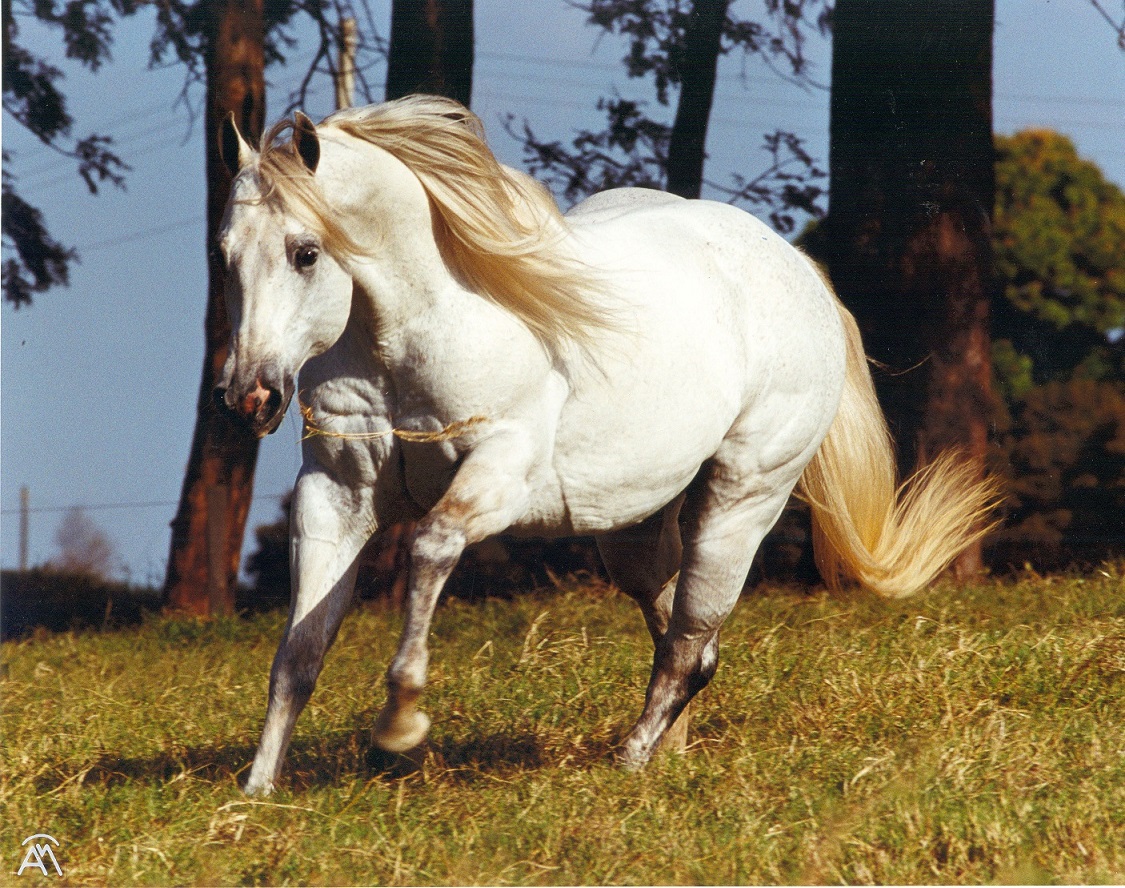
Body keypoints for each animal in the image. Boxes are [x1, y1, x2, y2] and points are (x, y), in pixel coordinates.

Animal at [214, 96, 999, 796]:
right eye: (226, 256)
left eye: (305, 252)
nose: (251, 396)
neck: (413, 331)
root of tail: (800, 271)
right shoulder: (336, 498)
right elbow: (300, 648)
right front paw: (259, 787)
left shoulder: (499, 475)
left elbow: (431, 547)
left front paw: (401, 724)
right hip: (634, 526)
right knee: (683, 634)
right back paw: (667, 750)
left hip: (742, 500)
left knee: (689, 640)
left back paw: (631, 760)